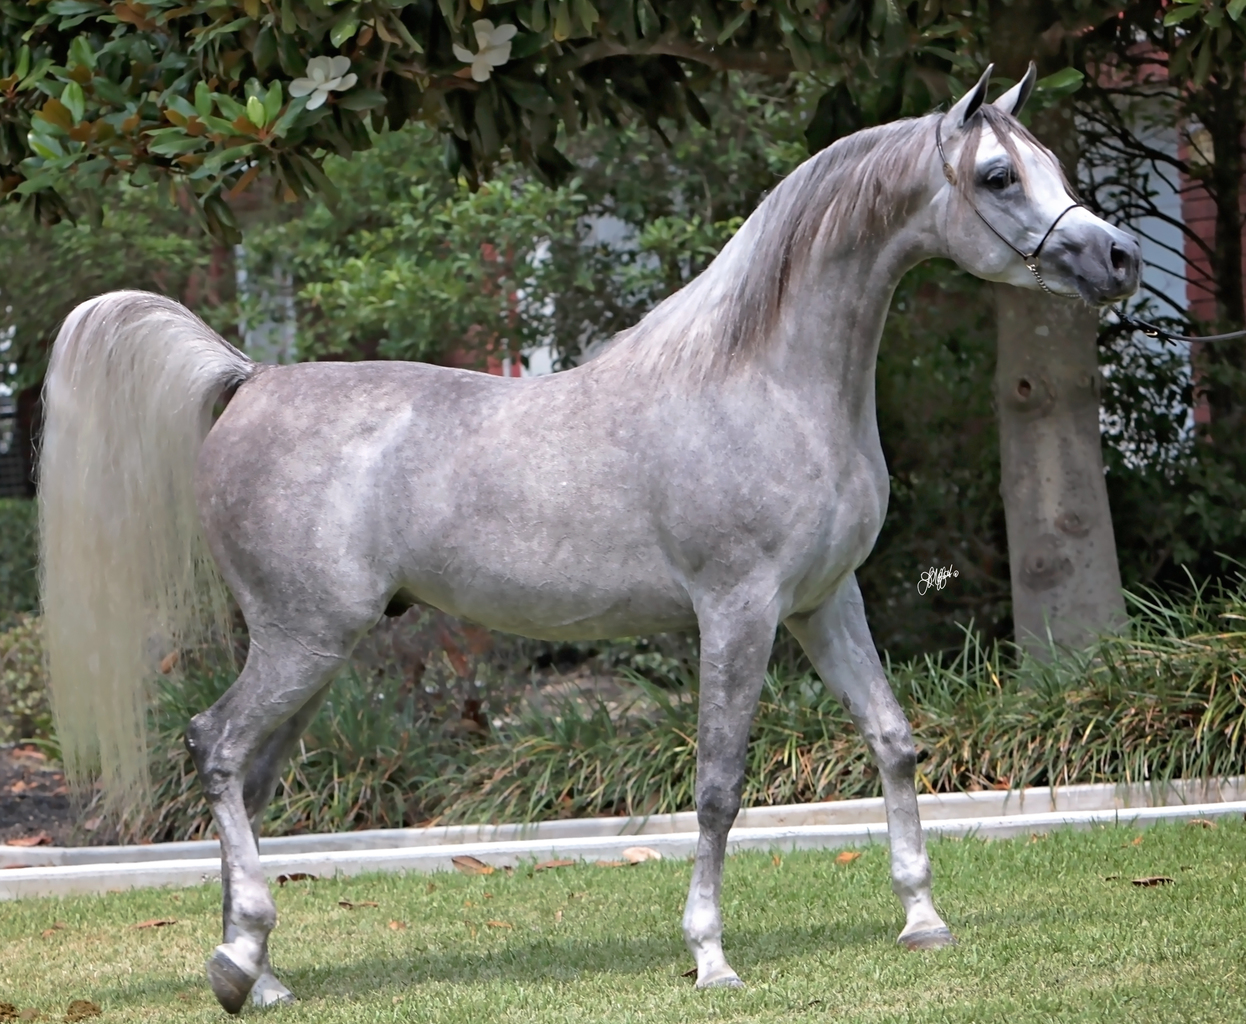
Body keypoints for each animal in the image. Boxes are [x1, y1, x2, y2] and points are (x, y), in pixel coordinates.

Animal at [39, 63, 1140, 1012]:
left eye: (1050, 159)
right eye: (997, 175)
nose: (1116, 258)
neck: (766, 382)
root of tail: (249, 377)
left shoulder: (825, 602)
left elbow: (893, 739)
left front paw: (921, 917)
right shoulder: (737, 610)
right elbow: (717, 785)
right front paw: (710, 958)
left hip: (314, 650)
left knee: (251, 776)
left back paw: (258, 973)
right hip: (301, 639)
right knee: (216, 748)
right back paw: (237, 963)